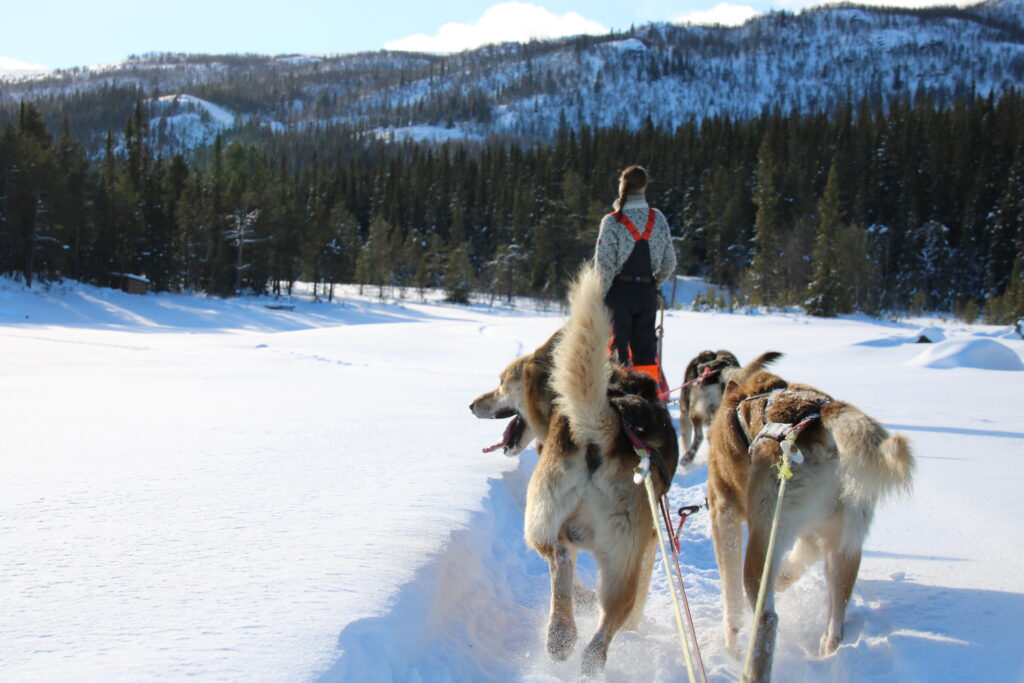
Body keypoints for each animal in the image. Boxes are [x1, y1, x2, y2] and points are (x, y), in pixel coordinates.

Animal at [466, 264, 675, 675]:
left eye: (501, 384)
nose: (472, 404)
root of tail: (605, 430)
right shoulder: (648, 546)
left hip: (546, 522)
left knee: (563, 564)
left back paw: (566, 640)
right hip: (612, 555)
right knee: (594, 602)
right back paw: (577, 645)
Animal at [708, 370, 917, 679]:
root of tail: (822, 419)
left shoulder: (725, 513)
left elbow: (731, 598)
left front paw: (731, 646)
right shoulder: (811, 535)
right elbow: (794, 565)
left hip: (763, 542)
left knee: (767, 619)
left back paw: (752, 671)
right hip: (843, 546)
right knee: (837, 610)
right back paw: (829, 647)